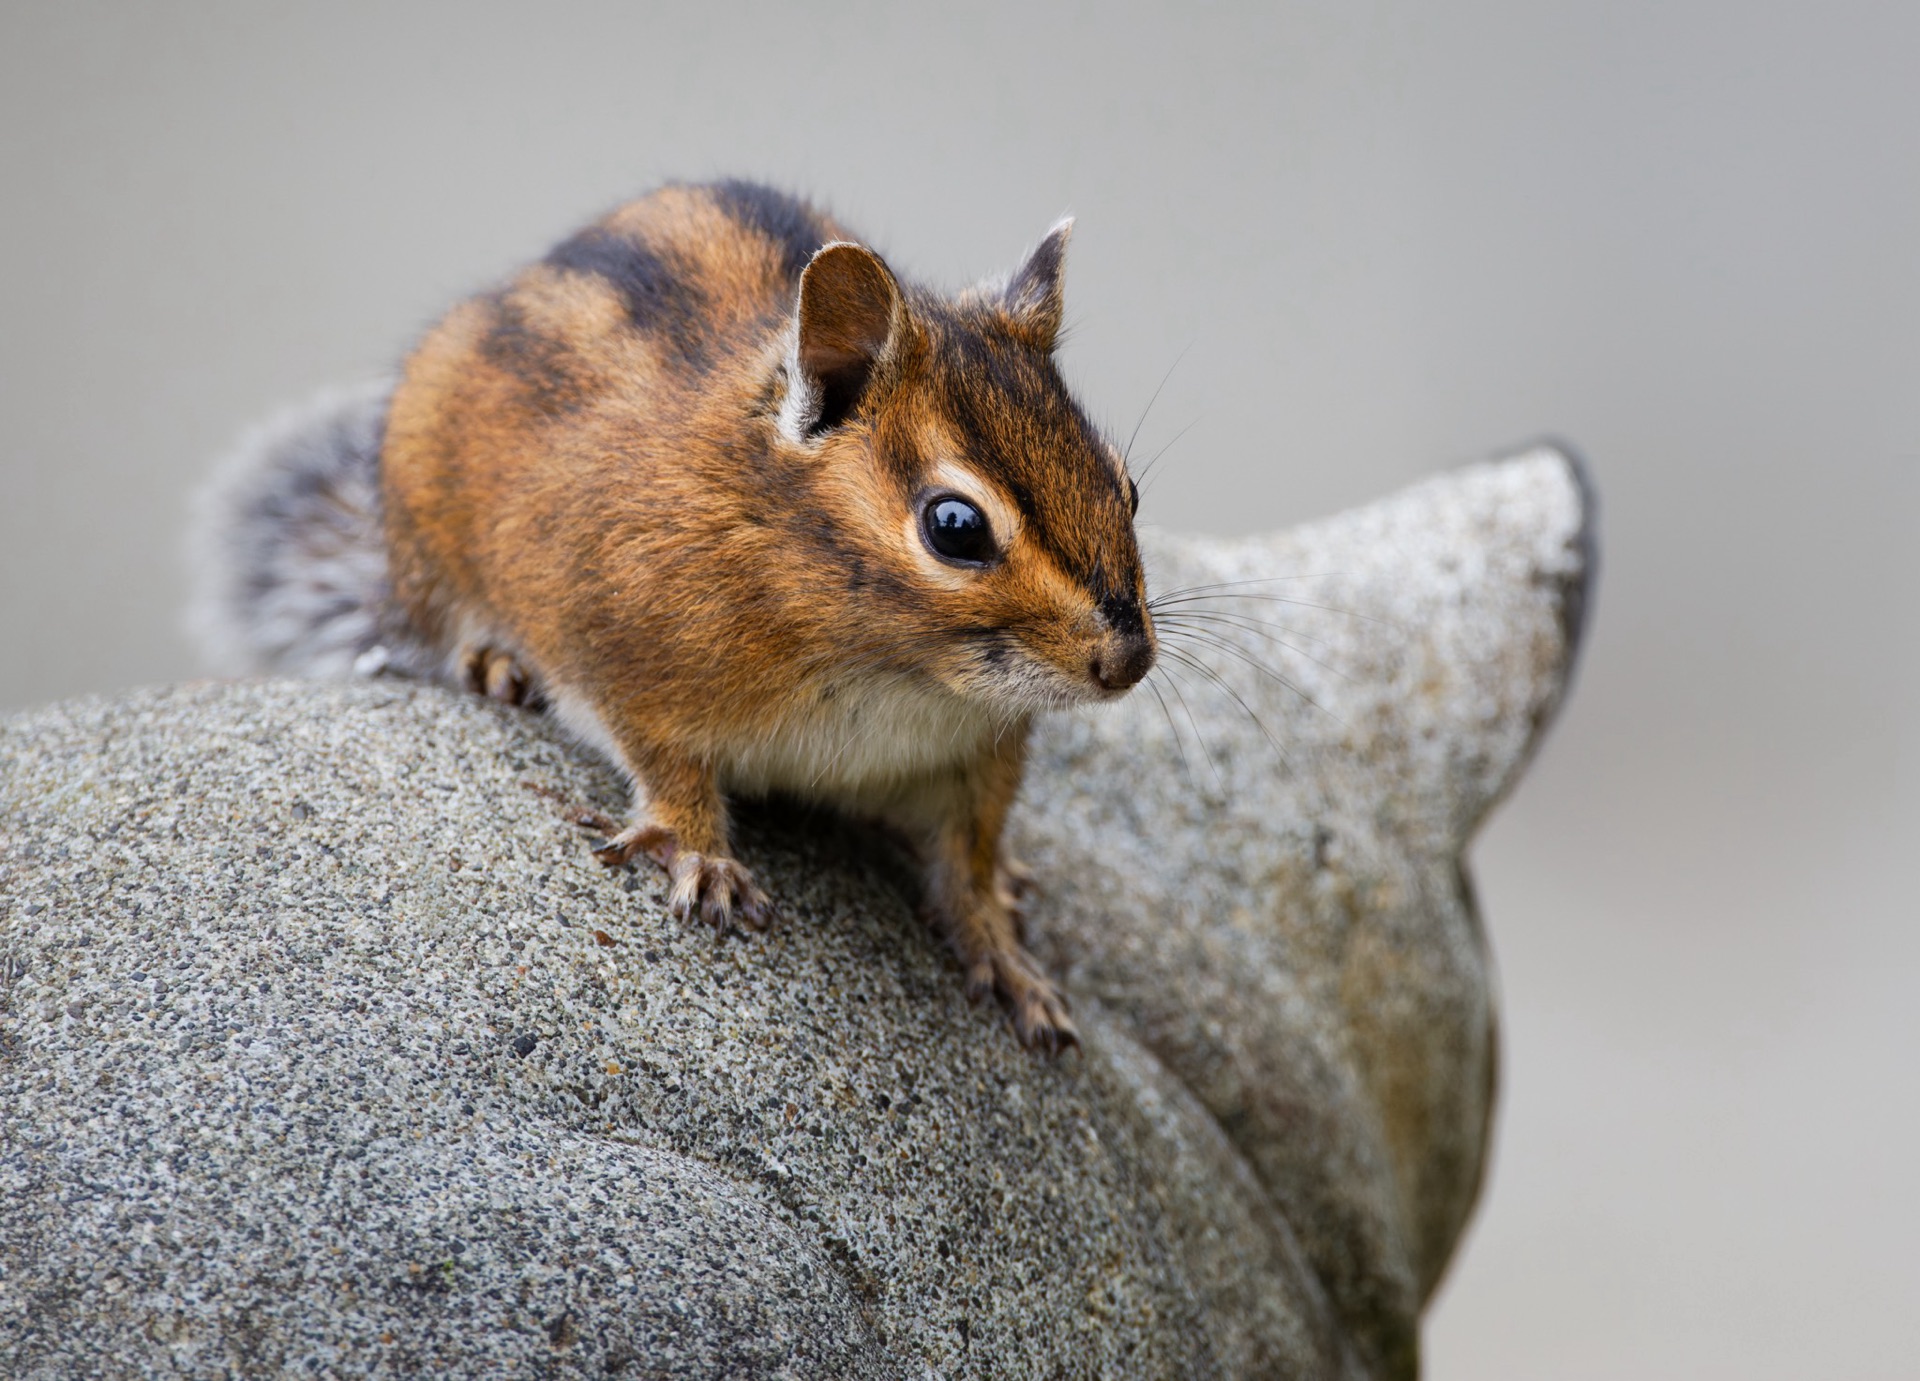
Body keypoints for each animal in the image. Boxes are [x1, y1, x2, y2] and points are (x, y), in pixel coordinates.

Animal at [193, 180, 1156, 1053]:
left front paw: (1009, 956)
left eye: (1127, 486)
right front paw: (702, 852)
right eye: (955, 527)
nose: (1130, 663)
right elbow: (666, 764)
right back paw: (491, 661)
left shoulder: (976, 759)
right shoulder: (622, 649)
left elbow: (970, 861)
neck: (894, 674)